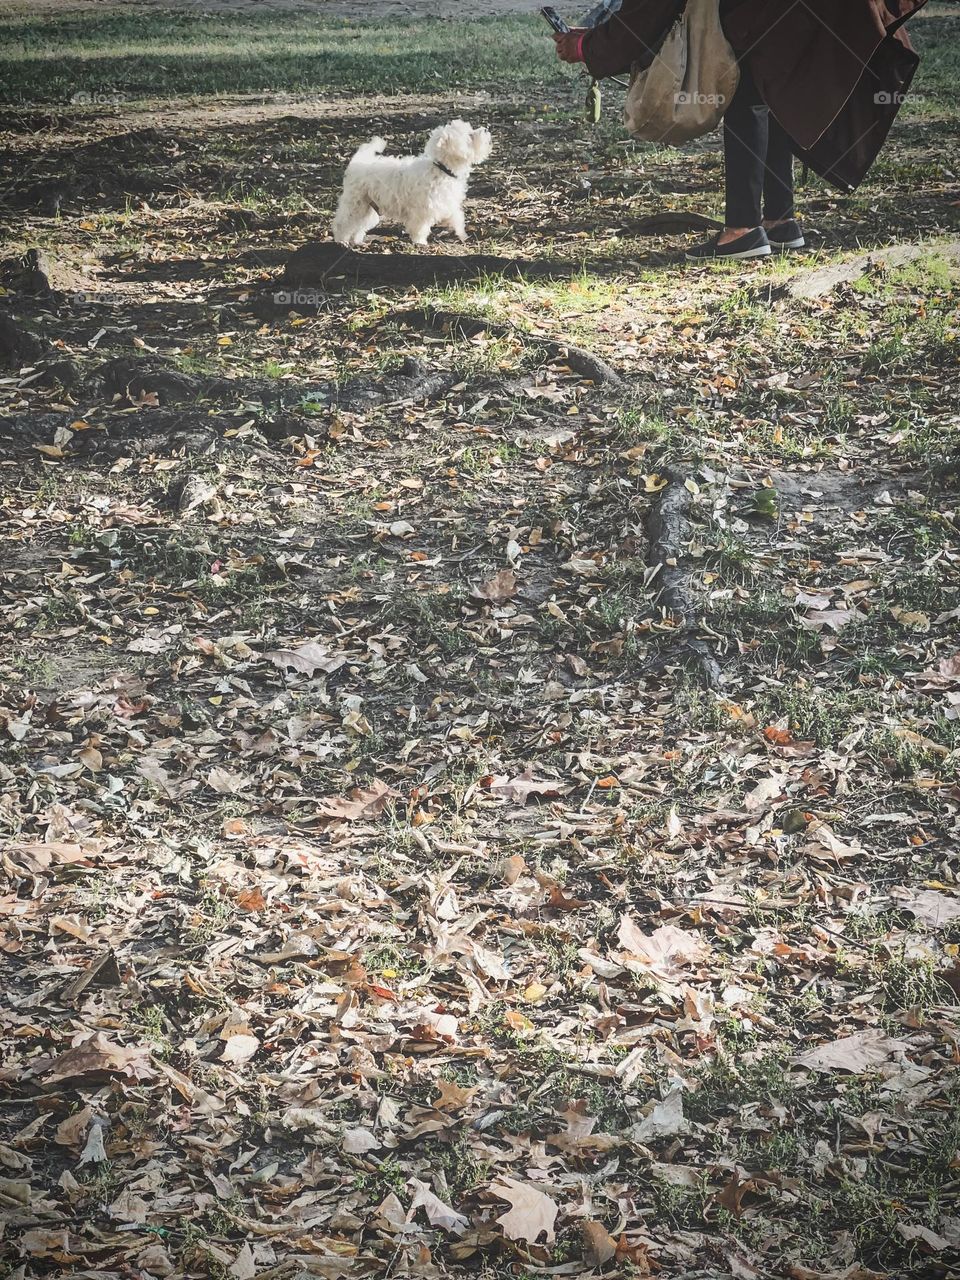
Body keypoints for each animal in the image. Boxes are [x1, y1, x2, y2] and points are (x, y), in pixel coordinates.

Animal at [332, 120, 496, 249]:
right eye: (469, 135)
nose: (486, 129)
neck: (441, 168)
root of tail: (358, 161)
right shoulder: (422, 210)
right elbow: (420, 228)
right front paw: (420, 242)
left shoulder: (448, 203)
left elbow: (457, 219)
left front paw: (463, 236)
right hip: (356, 204)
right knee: (343, 222)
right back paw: (341, 241)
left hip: (369, 208)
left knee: (359, 225)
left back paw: (357, 241)